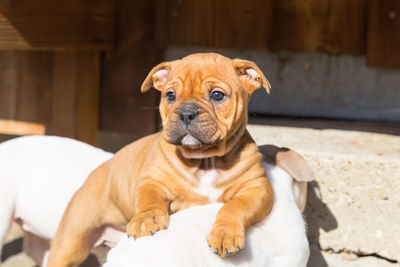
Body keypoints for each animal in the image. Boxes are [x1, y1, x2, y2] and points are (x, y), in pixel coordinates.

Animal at [46, 53, 272, 266]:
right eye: (170, 95)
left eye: (217, 95)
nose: (186, 113)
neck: (205, 161)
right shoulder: (151, 182)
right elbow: (149, 200)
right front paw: (146, 219)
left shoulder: (257, 189)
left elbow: (234, 206)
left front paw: (225, 234)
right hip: (70, 242)